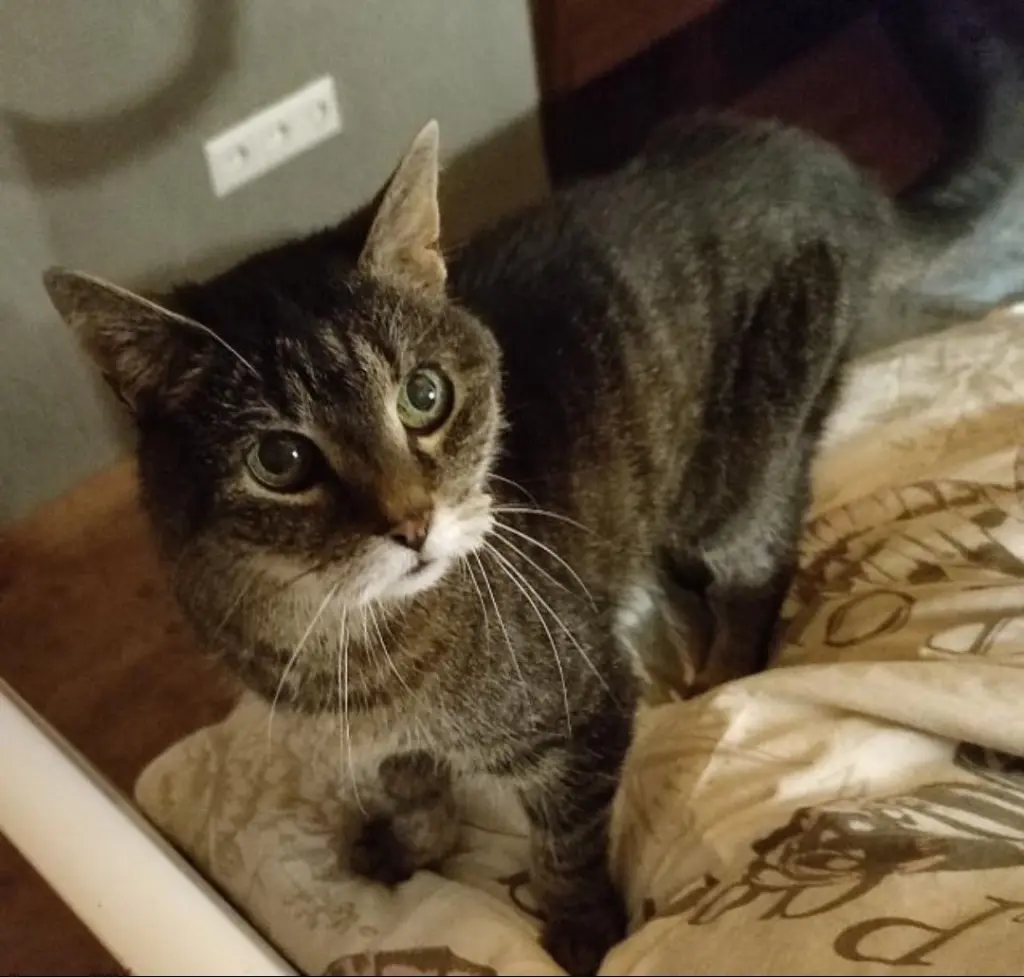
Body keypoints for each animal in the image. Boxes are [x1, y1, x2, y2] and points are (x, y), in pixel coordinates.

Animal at [42, 109, 1014, 974]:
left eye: (424, 396)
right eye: (280, 460)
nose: (412, 522)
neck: (350, 643)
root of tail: (828, 166)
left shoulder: (589, 704)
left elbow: (565, 842)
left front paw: (580, 930)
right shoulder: (386, 743)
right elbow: (417, 788)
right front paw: (411, 844)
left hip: (739, 472)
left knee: (761, 562)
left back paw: (721, 669)